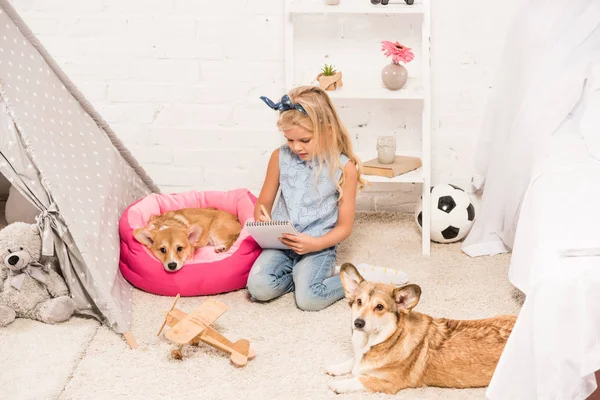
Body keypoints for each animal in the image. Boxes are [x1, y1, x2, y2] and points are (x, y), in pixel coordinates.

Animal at [326, 260, 516, 396]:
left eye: (379, 307)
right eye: (359, 302)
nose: (358, 323)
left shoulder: (386, 383)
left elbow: (357, 379)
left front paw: (336, 385)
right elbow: (351, 361)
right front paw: (334, 368)